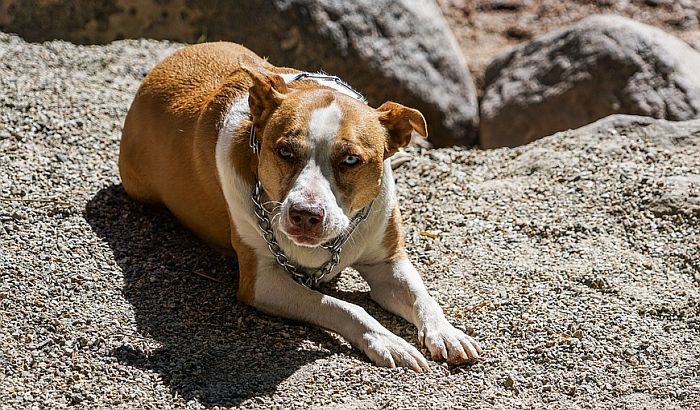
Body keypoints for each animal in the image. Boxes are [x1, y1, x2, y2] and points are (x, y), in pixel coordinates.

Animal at [119, 42, 482, 372]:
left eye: (351, 159)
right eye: (285, 151)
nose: (305, 215)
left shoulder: (387, 262)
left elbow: (422, 295)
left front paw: (446, 332)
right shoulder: (263, 281)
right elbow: (342, 307)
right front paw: (388, 340)